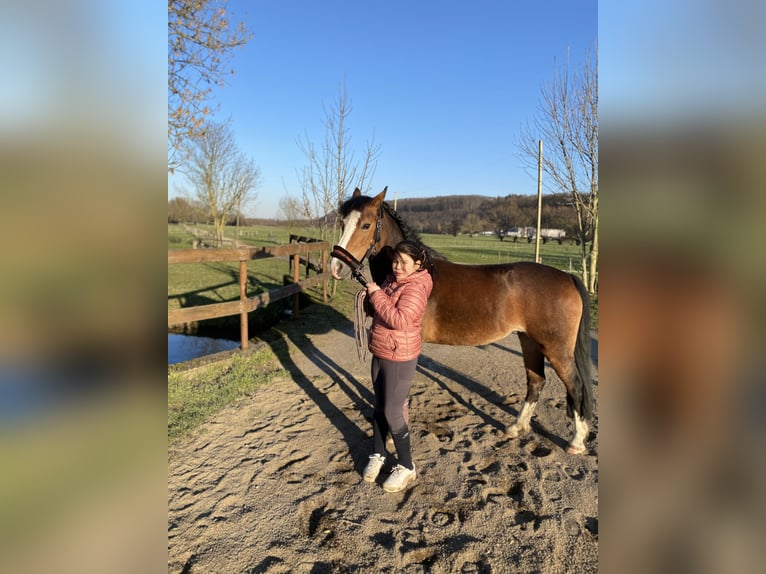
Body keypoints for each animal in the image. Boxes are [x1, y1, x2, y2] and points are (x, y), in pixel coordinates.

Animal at [328, 188, 592, 454]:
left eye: (366, 225)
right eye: (342, 223)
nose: (336, 266)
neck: (415, 275)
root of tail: (567, 277)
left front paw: (391, 438)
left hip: (556, 349)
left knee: (575, 385)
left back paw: (576, 442)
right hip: (529, 341)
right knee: (536, 381)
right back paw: (516, 428)